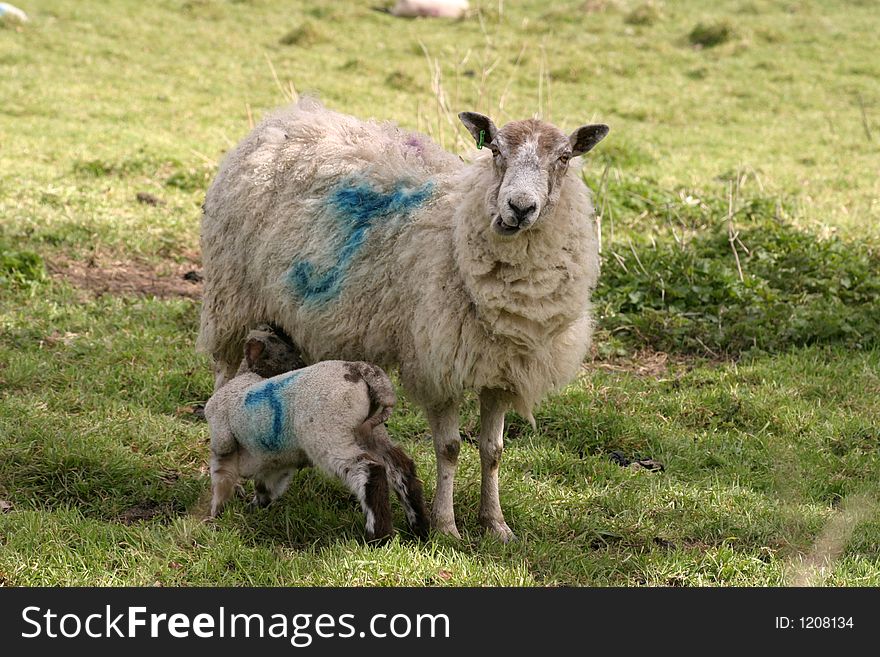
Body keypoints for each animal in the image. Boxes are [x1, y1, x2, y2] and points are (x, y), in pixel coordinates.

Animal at [204, 324, 430, 544]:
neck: (249, 376)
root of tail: (360, 369)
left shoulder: (222, 441)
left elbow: (221, 480)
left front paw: (215, 516)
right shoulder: (277, 462)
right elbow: (267, 487)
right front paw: (252, 509)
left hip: (329, 437)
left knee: (370, 471)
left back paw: (379, 538)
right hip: (371, 433)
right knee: (401, 467)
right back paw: (419, 529)